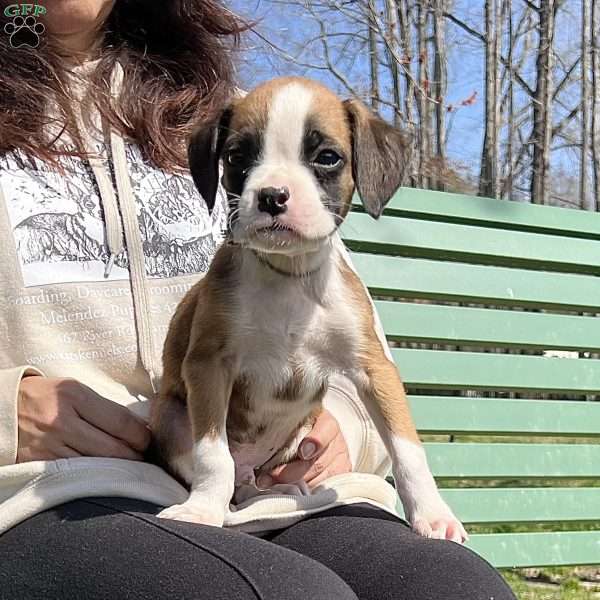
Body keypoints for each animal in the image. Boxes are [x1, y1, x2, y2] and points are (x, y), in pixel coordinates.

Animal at [151, 76, 468, 544]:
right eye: (237, 156)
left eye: (327, 157)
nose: (272, 196)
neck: (290, 277)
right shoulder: (208, 365)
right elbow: (213, 455)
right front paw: (202, 509)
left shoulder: (375, 370)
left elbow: (407, 449)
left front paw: (432, 513)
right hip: (171, 415)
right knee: (228, 470)